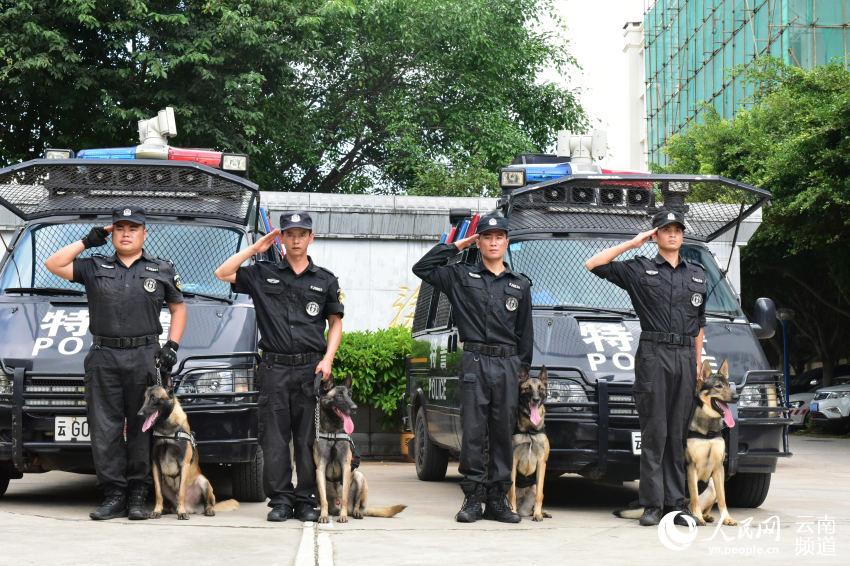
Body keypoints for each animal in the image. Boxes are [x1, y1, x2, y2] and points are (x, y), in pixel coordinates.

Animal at [137, 388, 238, 520]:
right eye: (144, 398)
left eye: (154, 398)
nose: (139, 414)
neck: (166, 431)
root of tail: (192, 509)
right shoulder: (156, 465)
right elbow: (158, 494)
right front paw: (157, 511)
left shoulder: (184, 464)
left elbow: (181, 492)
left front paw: (181, 512)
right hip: (164, 482)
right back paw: (166, 510)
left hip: (204, 481)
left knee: (209, 503)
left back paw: (207, 510)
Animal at [314, 380, 406, 524]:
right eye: (339, 395)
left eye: (350, 395)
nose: (354, 408)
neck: (333, 431)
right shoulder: (320, 468)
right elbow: (324, 500)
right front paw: (323, 515)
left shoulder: (346, 467)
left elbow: (345, 496)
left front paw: (343, 516)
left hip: (359, 477)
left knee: (357, 504)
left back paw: (355, 512)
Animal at [612, 362, 740, 524]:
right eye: (718, 386)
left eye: (728, 385)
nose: (737, 397)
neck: (707, 431)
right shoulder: (691, 467)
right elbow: (694, 497)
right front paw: (698, 518)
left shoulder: (718, 468)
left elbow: (723, 499)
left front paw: (726, 518)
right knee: (684, 503)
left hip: (711, 487)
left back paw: (705, 515)